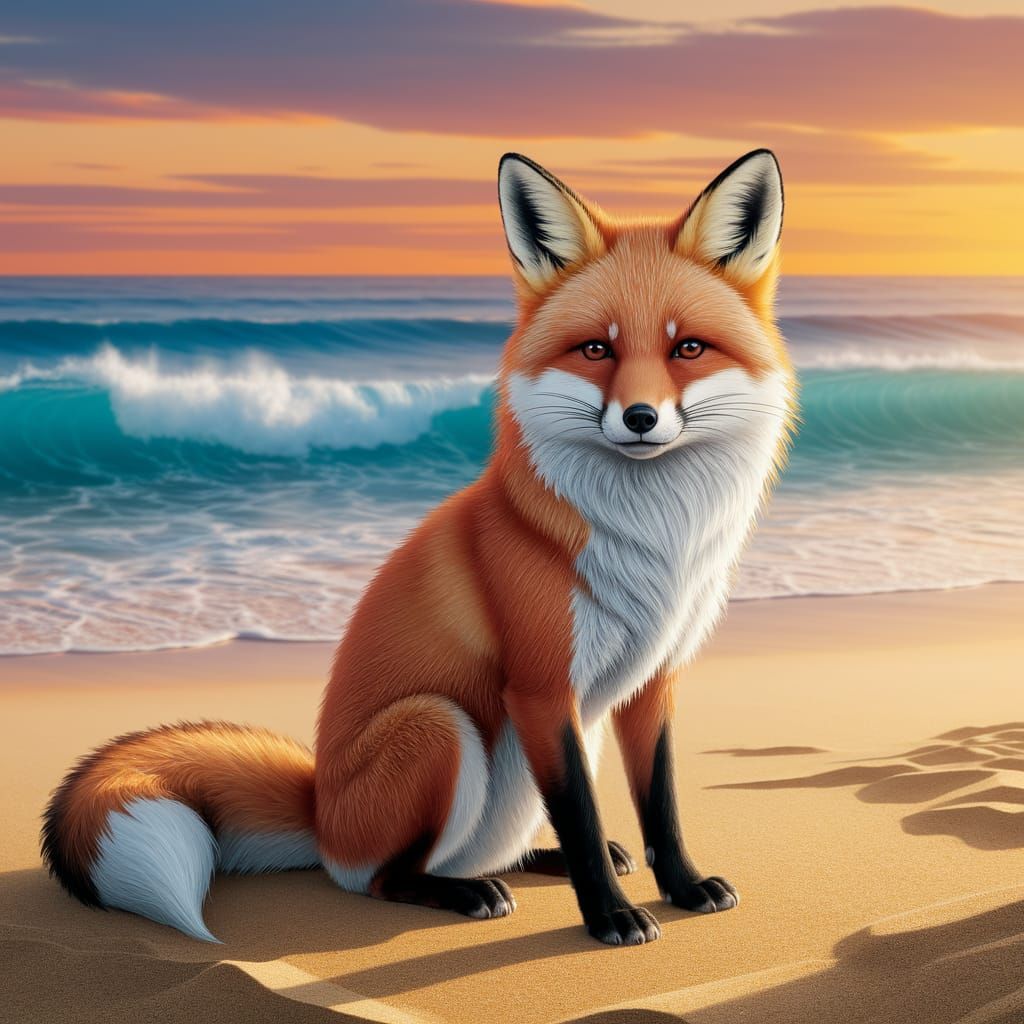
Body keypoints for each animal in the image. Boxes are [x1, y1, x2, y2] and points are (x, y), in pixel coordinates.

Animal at [42, 150, 795, 947]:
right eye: (597, 348)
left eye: (688, 348)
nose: (642, 417)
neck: (651, 543)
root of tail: (319, 811)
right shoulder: (540, 688)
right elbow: (584, 818)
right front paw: (611, 917)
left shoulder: (652, 681)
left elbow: (661, 805)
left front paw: (681, 886)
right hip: (437, 724)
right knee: (381, 878)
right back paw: (462, 892)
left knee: (491, 848)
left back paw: (533, 861)